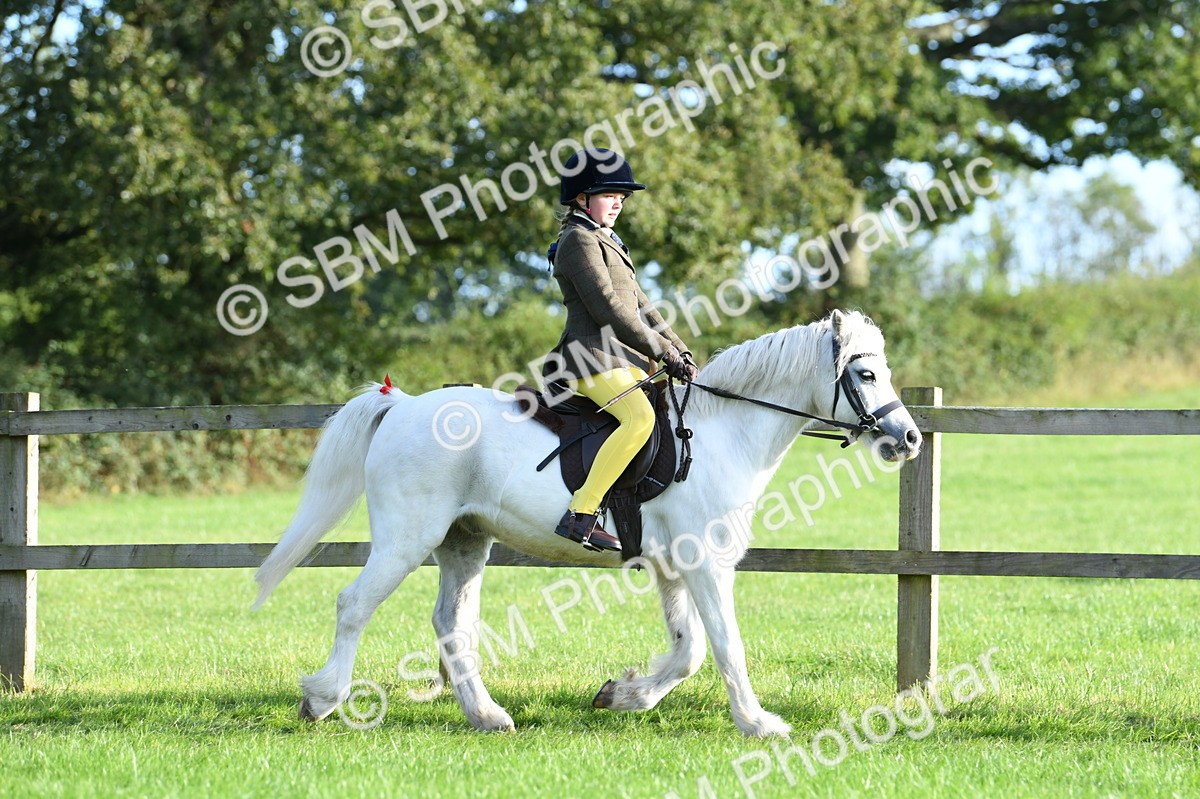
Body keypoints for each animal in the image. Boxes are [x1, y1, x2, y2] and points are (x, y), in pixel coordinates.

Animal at [253, 309, 922, 737]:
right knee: (353, 605)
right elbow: (725, 646)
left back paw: (488, 717)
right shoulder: (706, 564)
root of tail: (403, 405)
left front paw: (622, 695)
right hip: (406, 538)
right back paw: (323, 699)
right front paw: (759, 725)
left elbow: (688, 650)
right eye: (865, 374)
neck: (722, 433)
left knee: (452, 625)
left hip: (464, 541)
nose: (910, 438)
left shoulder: (674, 567)